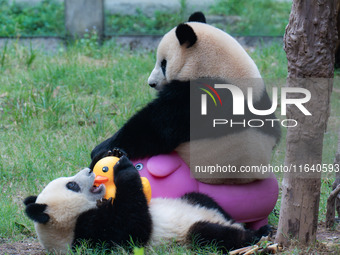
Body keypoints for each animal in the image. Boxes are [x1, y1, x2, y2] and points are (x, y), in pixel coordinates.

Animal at [23, 155, 270, 253]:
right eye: (72, 185)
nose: (88, 170)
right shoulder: (90, 235)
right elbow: (134, 228)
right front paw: (124, 170)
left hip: (196, 200)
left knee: (204, 200)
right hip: (190, 238)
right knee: (207, 234)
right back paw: (257, 236)